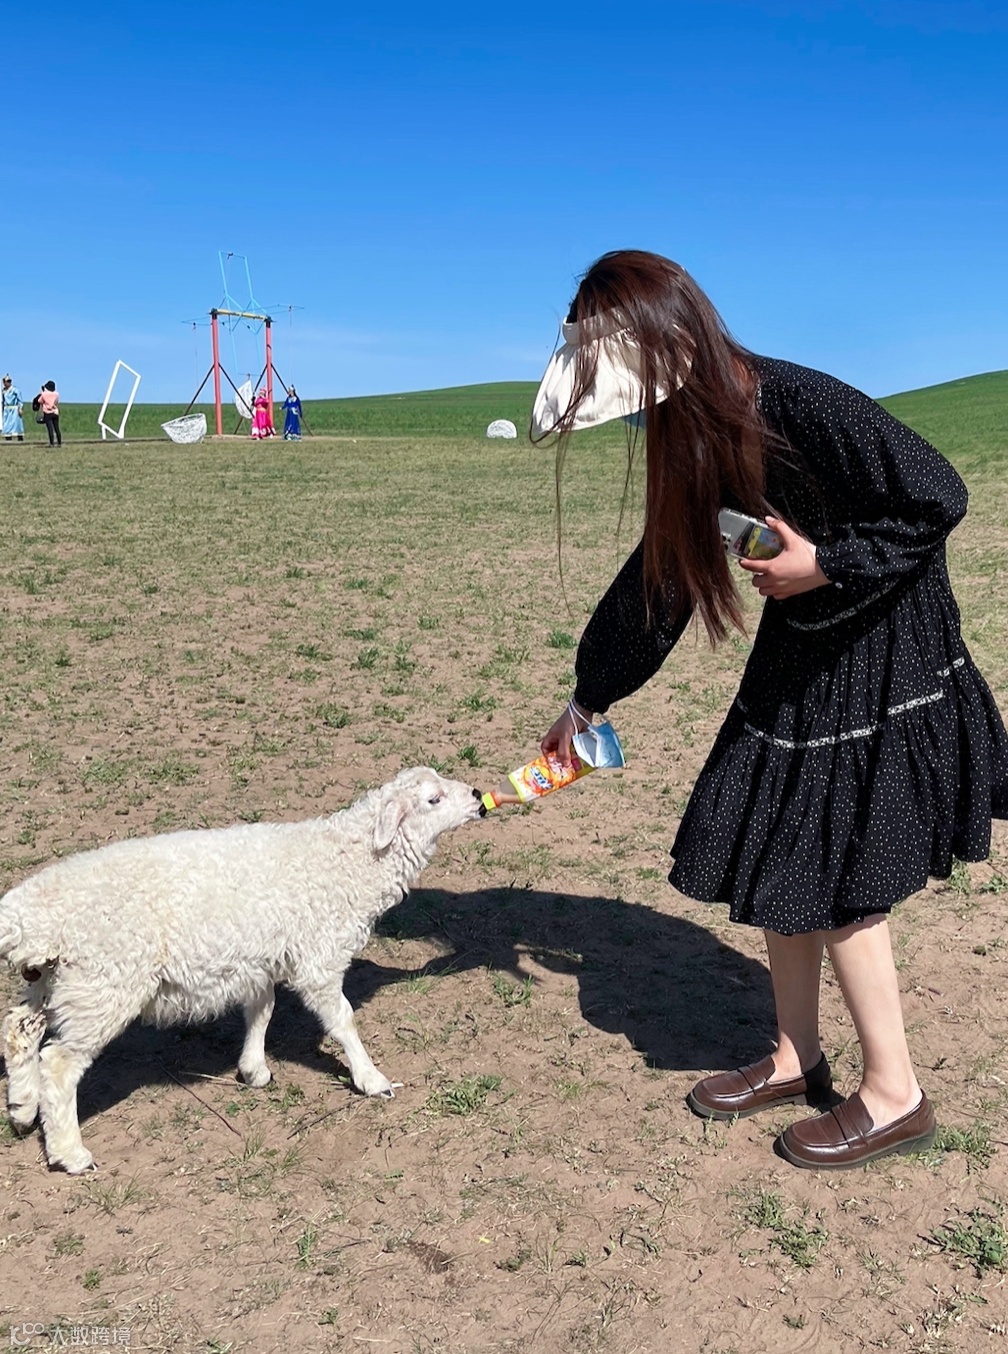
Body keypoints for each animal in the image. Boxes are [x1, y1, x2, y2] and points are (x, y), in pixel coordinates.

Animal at [0, 767, 485, 1173]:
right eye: (433, 799)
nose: (479, 796)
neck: (346, 862)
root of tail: (30, 914)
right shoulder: (318, 957)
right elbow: (342, 1020)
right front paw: (370, 1078)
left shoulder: (259, 956)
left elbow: (262, 1010)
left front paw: (253, 1069)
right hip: (103, 984)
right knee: (59, 1064)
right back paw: (70, 1152)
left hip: (55, 980)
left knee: (18, 1028)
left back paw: (23, 1108)